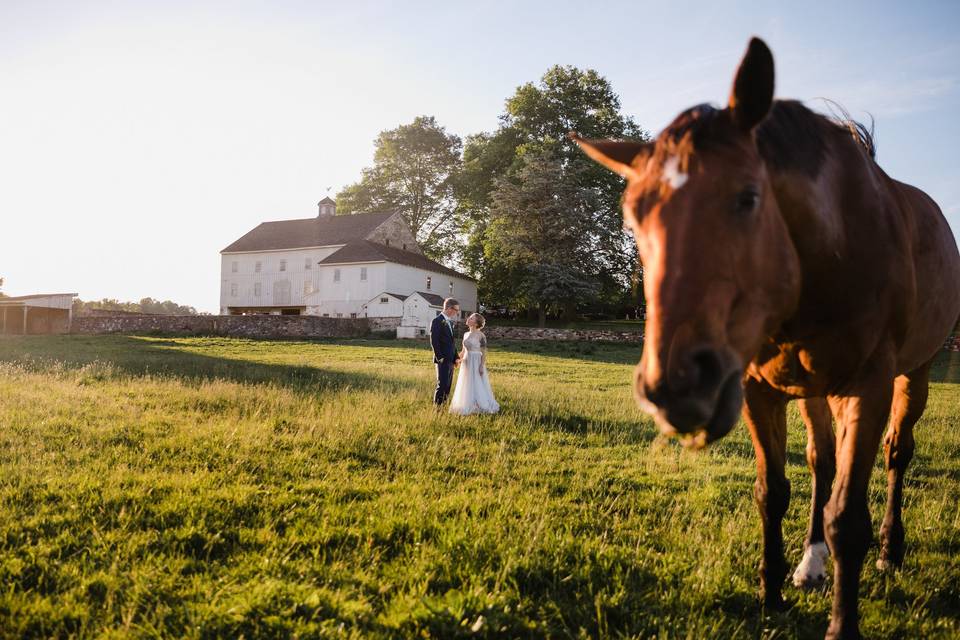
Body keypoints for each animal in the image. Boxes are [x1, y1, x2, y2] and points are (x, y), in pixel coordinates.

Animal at [572, 37, 956, 636]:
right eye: (633, 215)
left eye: (748, 197)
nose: (677, 384)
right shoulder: (757, 389)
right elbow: (773, 492)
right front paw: (771, 593)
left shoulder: (868, 386)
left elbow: (848, 517)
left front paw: (842, 621)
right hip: (814, 390)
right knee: (822, 461)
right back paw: (811, 562)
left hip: (914, 372)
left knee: (898, 453)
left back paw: (891, 551)